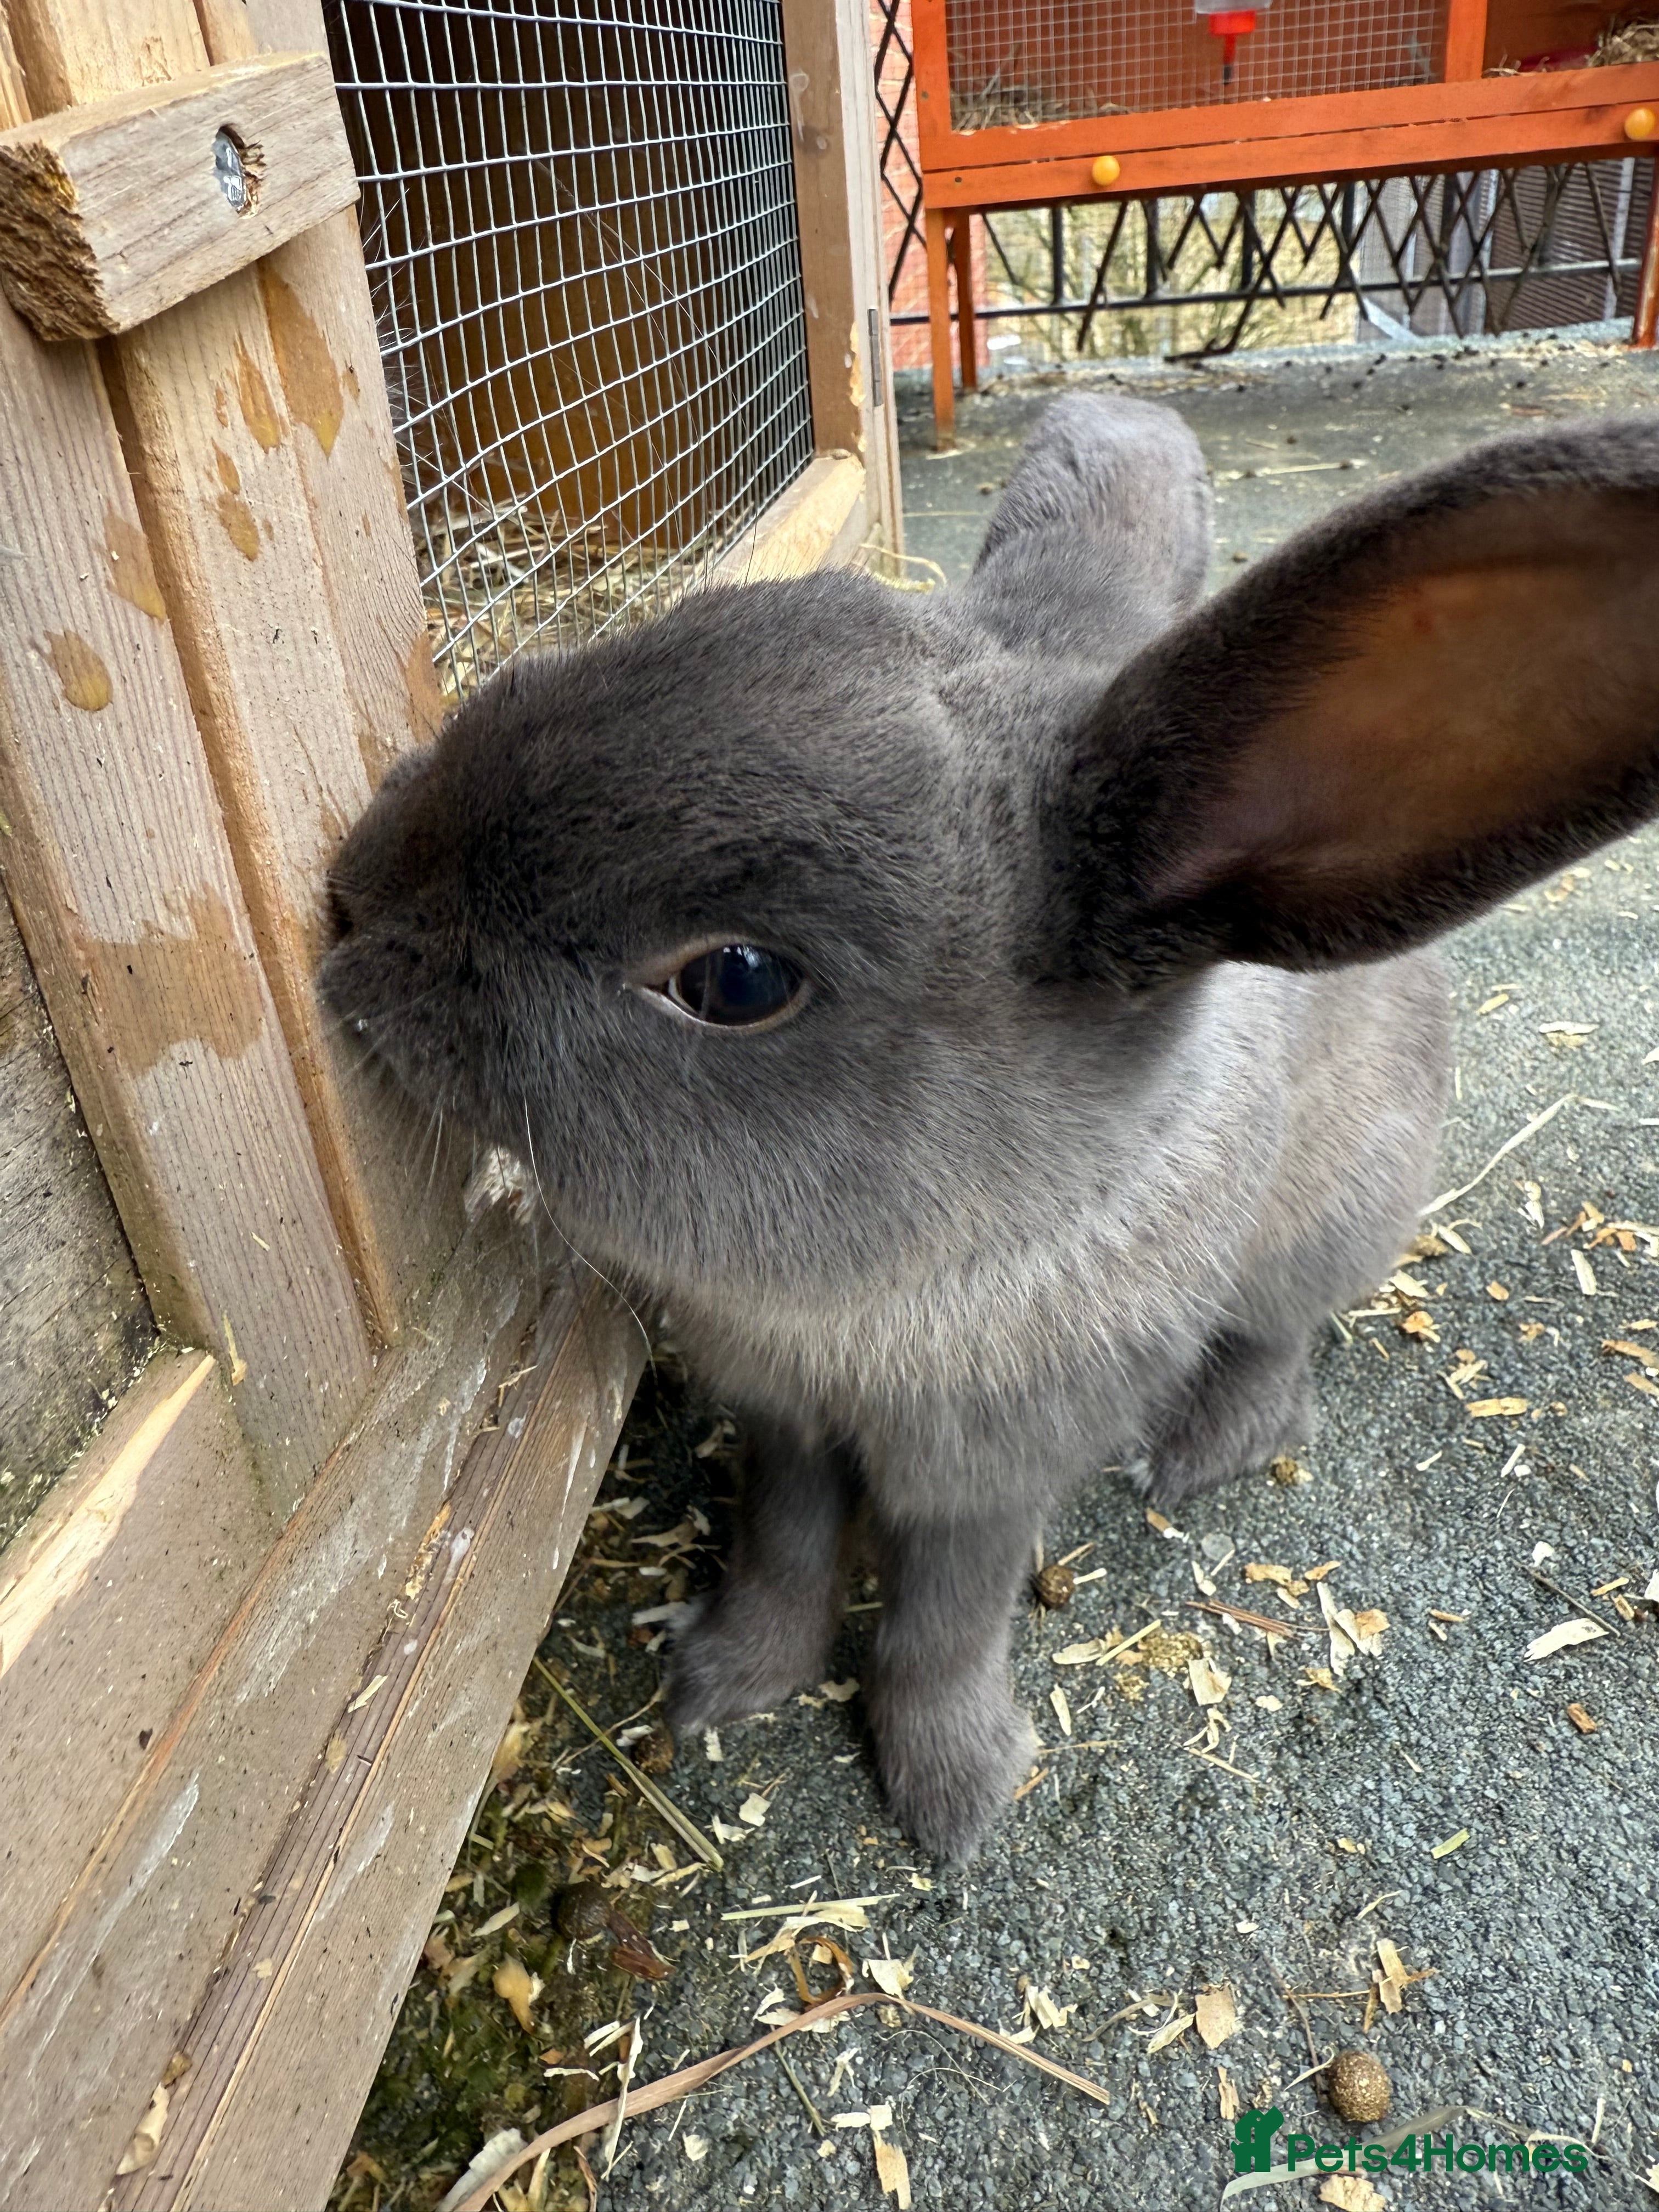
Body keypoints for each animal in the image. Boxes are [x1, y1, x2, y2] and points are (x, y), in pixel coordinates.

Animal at [321, 396, 1659, 1860]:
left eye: (735, 981)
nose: (351, 900)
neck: (889, 1292)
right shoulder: (787, 1426)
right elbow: (783, 1550)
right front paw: (723, 1679)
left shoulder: (988, 1472)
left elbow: (944, 1626)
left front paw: (951, 1794)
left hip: (1331, 1218)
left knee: (1282, 1340)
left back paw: (1201, 1454)